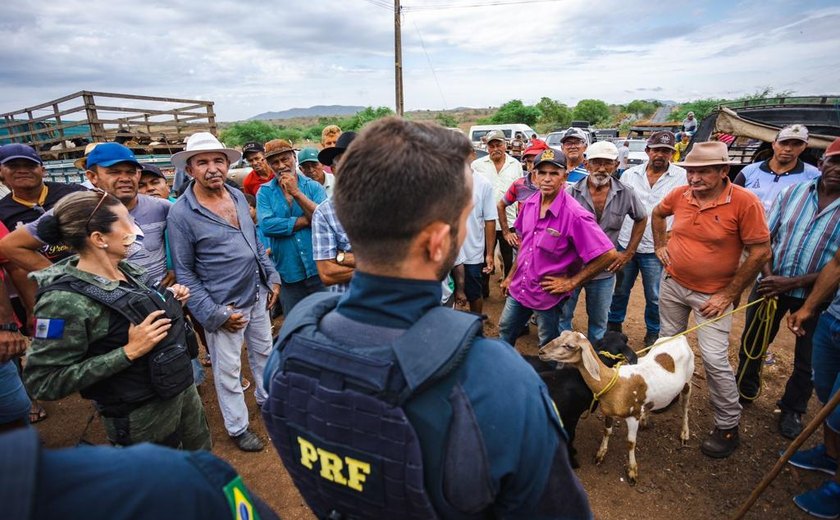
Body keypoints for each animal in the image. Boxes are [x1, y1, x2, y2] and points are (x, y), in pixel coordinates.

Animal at [540, 332, 696, 486]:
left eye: (569, 346)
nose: (541, 352)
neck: (613, 383)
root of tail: (680, 337)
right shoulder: (609, 412)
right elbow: (607, 431)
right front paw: (600, 454)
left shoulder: (633, 415)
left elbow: (631, 443)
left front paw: (632, 471)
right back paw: (646, 419)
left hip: (688, 382)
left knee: (685, 406)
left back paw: (684, 433)